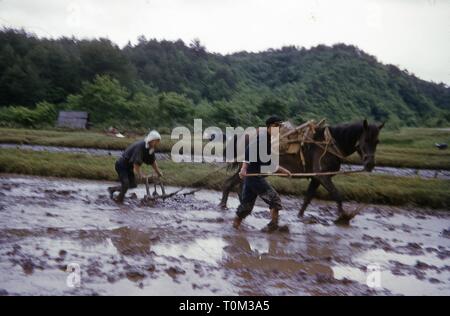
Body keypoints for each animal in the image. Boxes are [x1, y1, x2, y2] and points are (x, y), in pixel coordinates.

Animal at [219, 119, 384, 225]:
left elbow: (308, 197)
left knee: (239, 186)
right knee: (230, 183)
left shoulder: (317, 178)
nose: (370, 164)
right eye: (366, 140)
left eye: (377, 141)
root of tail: (243, 135)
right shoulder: (323, 177)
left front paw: (300, 216)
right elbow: (337, 194)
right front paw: (343, 217)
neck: (331, 144)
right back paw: (223, 206)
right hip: (246, 167)